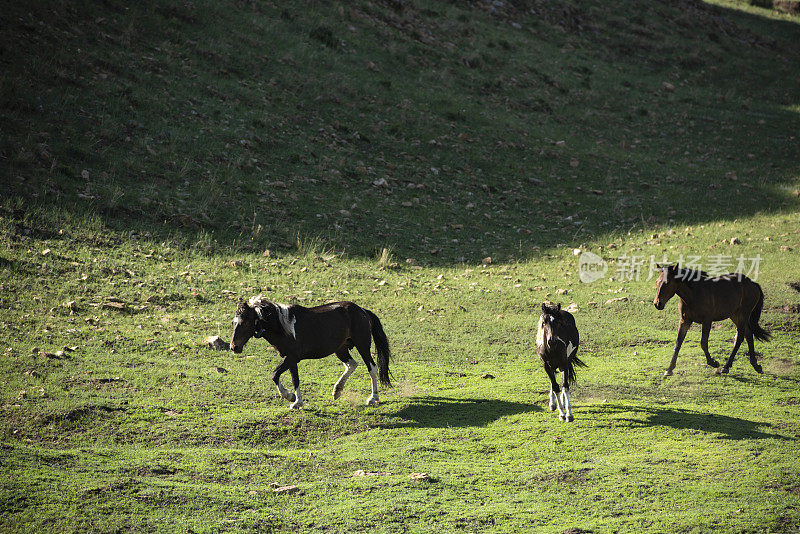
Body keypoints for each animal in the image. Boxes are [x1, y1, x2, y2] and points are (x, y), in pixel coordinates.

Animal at [227, 298, 392, 410]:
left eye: (246, 322)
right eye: (233, 322)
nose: (234, 347)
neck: (283, 327)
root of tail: (362, 311)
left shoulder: (292, 357)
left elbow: (275, 374)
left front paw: (289, 396)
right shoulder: (290, 359)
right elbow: (295, 379)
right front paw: (296, 401)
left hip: (362, 345)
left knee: (372, 367)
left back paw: (373, 398)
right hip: (341, 348)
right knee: (352, 365)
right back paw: (337, 391)